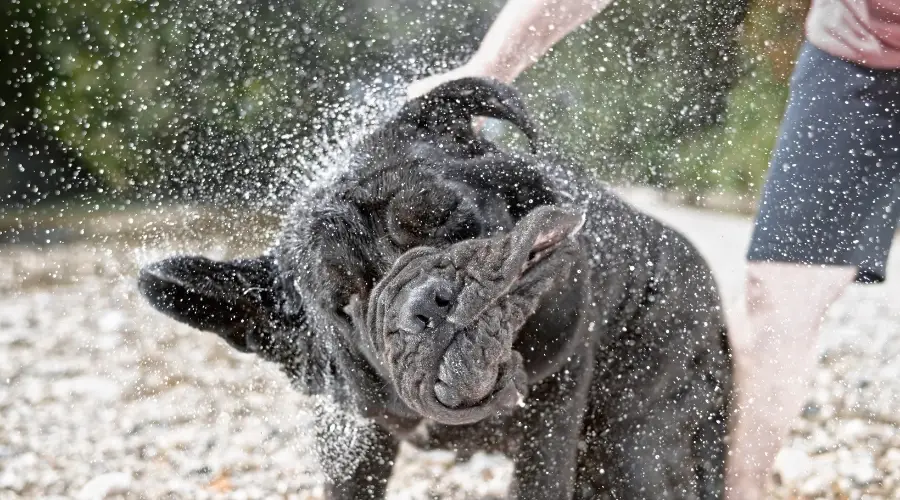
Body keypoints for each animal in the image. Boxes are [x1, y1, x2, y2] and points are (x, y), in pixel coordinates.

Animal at [139, 78, 732, 496]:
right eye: (344, 305)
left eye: (447, 216)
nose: (427, 300)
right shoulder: (357, 440)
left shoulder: (551, 417)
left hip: (637, 450)